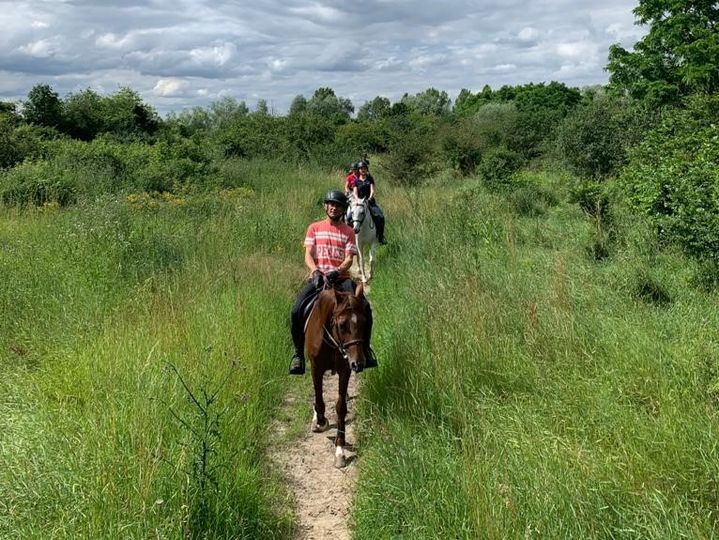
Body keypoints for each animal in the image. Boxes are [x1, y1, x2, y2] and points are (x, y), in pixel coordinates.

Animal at [306, 284, 368, 466]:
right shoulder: (316, 368)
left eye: (364, 322)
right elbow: (319, 398)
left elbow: (341, 407)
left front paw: (340, 450)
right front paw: (320, 421)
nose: (358, 363)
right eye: (341, 325)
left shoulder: (345, 370)